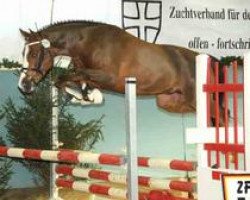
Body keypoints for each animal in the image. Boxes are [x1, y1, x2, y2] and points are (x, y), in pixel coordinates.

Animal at [17, 20, 225, 123]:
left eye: (34, 53)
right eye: (23, 53)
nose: (23, 85)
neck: (87, 43)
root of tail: (205, 57)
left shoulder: (108, 77)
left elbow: (65, 77)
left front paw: (85, 98)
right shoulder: (88, 75)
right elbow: (67, 80)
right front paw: (85, 98)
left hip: (196, 98)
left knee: (223, 117)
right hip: (169, 101)